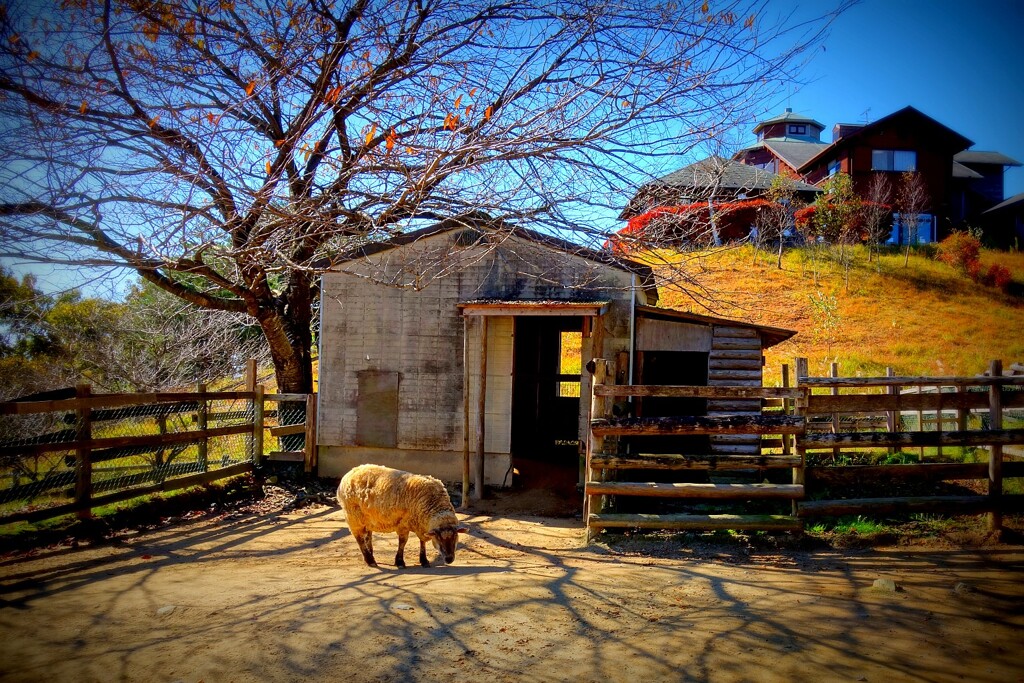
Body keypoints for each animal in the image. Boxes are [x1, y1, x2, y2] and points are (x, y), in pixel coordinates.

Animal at [335, 462, 468, 569]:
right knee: (359, 538)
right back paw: (370, 560)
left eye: (456, 536)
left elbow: (422, 541)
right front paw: (400, 562)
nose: (449, 559)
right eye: (439, 538)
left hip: (367, 519)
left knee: (368, 536)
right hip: (353, 517)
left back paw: (371, 555)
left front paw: (424, 560)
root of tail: (349, 473)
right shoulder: (403, 524)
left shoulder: (421, 524)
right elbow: (403, 542)